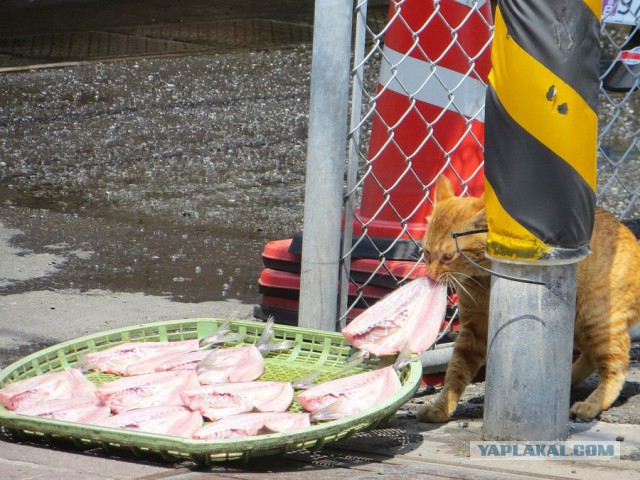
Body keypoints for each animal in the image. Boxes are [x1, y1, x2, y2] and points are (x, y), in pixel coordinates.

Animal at [418, 174, 640, 422]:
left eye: (448, 256)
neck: (482, 279)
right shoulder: (472, 329)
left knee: (616, 365)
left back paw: (592, 402)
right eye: (427, 253)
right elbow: (456, 370)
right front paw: (442, 405)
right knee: (591, 357)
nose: (431, 275)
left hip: (595, 318)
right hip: (577, 326)